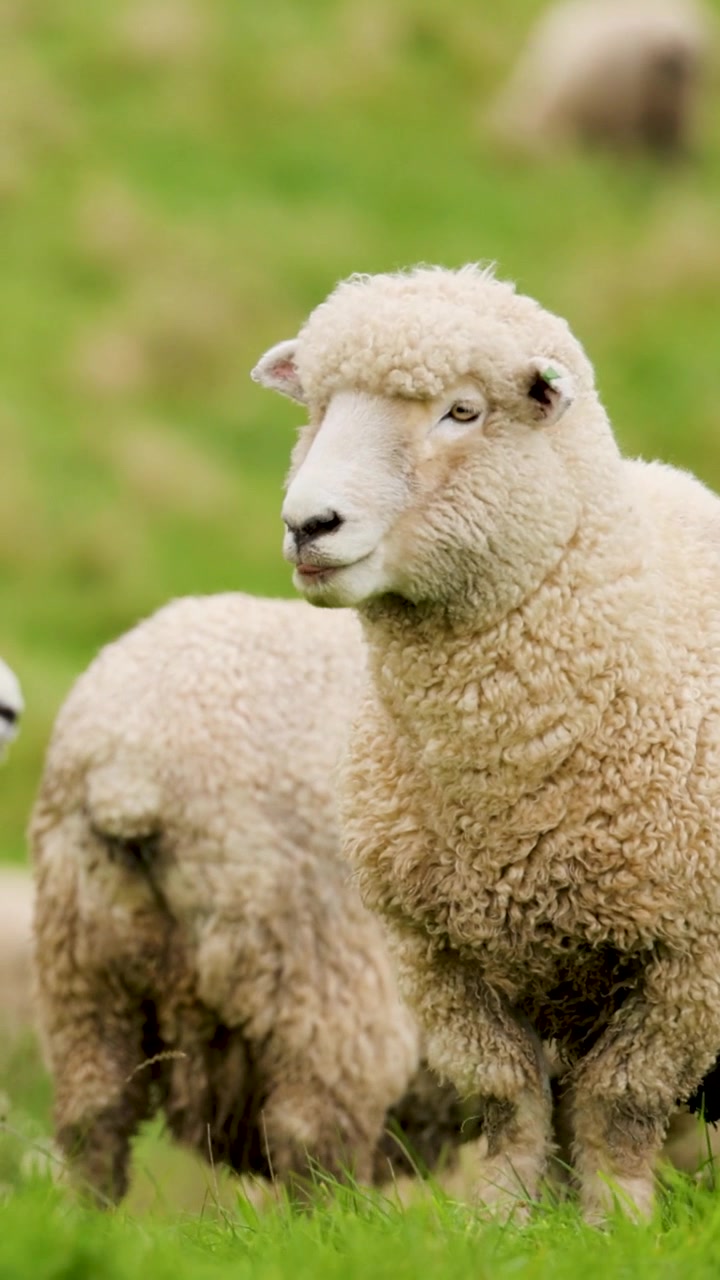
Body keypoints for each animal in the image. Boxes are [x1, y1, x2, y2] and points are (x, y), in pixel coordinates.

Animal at [253, 263, 720, 1223]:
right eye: (316, 407)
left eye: (461, 412)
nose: (309, 524)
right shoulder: (433, 953)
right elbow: (504, 1096)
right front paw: (505, 1222)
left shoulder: (689, 960)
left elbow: (623, 1103)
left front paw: (619, 1222)